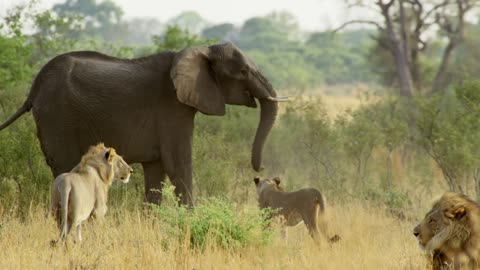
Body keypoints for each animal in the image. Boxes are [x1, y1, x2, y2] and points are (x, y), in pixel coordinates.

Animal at [0, 43, 284, 206]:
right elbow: (178, 164)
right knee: (64, 166)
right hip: (58, 117)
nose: (261, 169)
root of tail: (34, 89)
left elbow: (157, 171)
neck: (199, 50)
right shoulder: (172, 107)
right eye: (243, 72)